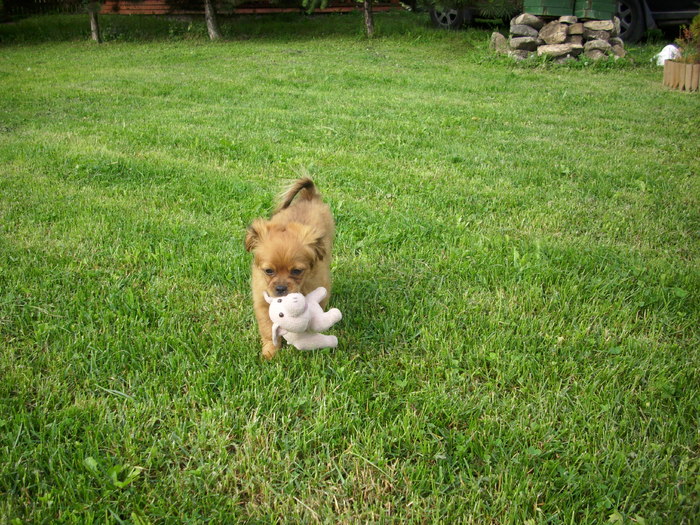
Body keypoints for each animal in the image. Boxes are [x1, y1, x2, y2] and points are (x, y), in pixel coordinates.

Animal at [245, 178, 334, 358]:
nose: (280, 288)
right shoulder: (262, 301)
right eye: (269, 271)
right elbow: (267, 328)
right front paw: (270, 352)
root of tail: (309, 197)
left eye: (296, 271)